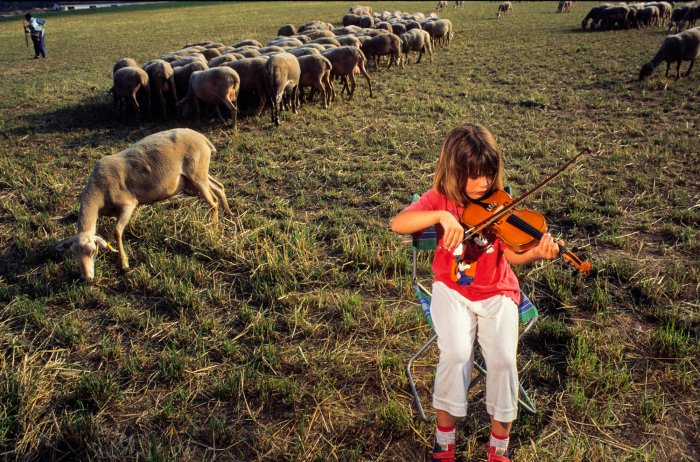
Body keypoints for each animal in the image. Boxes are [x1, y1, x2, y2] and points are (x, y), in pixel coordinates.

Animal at [56, 128, 230, 280]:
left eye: (93, 251)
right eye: (73, 253)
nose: (87, 278)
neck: (98, 191)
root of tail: (203, 139)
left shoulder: (128, 204)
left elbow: (117, 232)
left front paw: (124, 264)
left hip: (197, 173)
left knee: (213, 202)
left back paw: (214, 231)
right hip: (196, 177)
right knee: (219, 187)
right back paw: (228, 214)